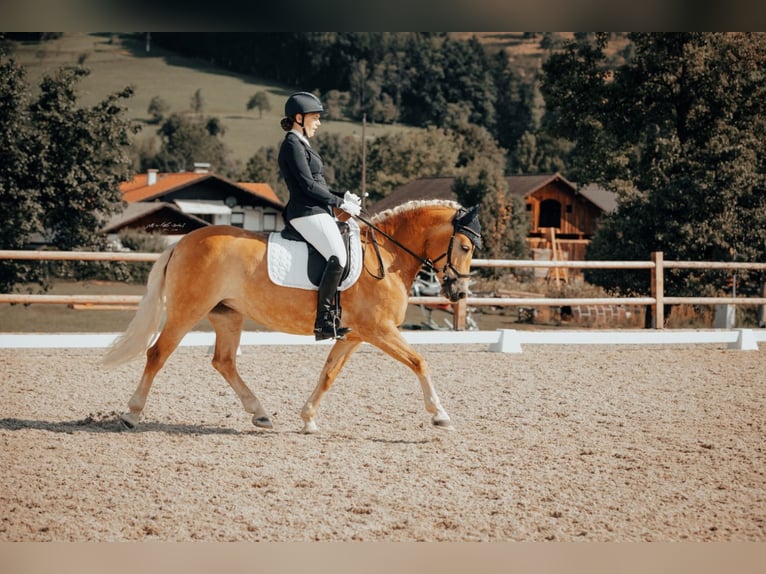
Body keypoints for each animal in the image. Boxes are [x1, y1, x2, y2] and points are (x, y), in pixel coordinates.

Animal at [105, 200, 484, 434]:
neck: (388, 255)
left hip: (227, 315)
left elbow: (329, 374)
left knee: (223, 361)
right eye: (465, 247)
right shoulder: (379, 330)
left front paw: (308, 419)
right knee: (157, 354)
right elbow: (419, 362)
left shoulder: (355, 334)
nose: (459, 294)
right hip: (187, 311)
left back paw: (259, 413)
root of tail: (180, 243)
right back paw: (131, 414)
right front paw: (440, 415)